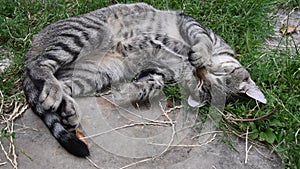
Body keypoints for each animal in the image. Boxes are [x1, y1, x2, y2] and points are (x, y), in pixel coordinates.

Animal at [24, 2, 266, 156]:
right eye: (211, 79)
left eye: (204, 85)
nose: (198, 72)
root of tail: (32, 47)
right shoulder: (190, 24)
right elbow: (198, 40)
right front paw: (197, 53)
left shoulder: (158, 72)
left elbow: (152, 84)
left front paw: (126, 92)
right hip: (86, 34)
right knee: (40, 66)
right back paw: (53, 91)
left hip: (96, 74)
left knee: (58, 87)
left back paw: (68, 109)